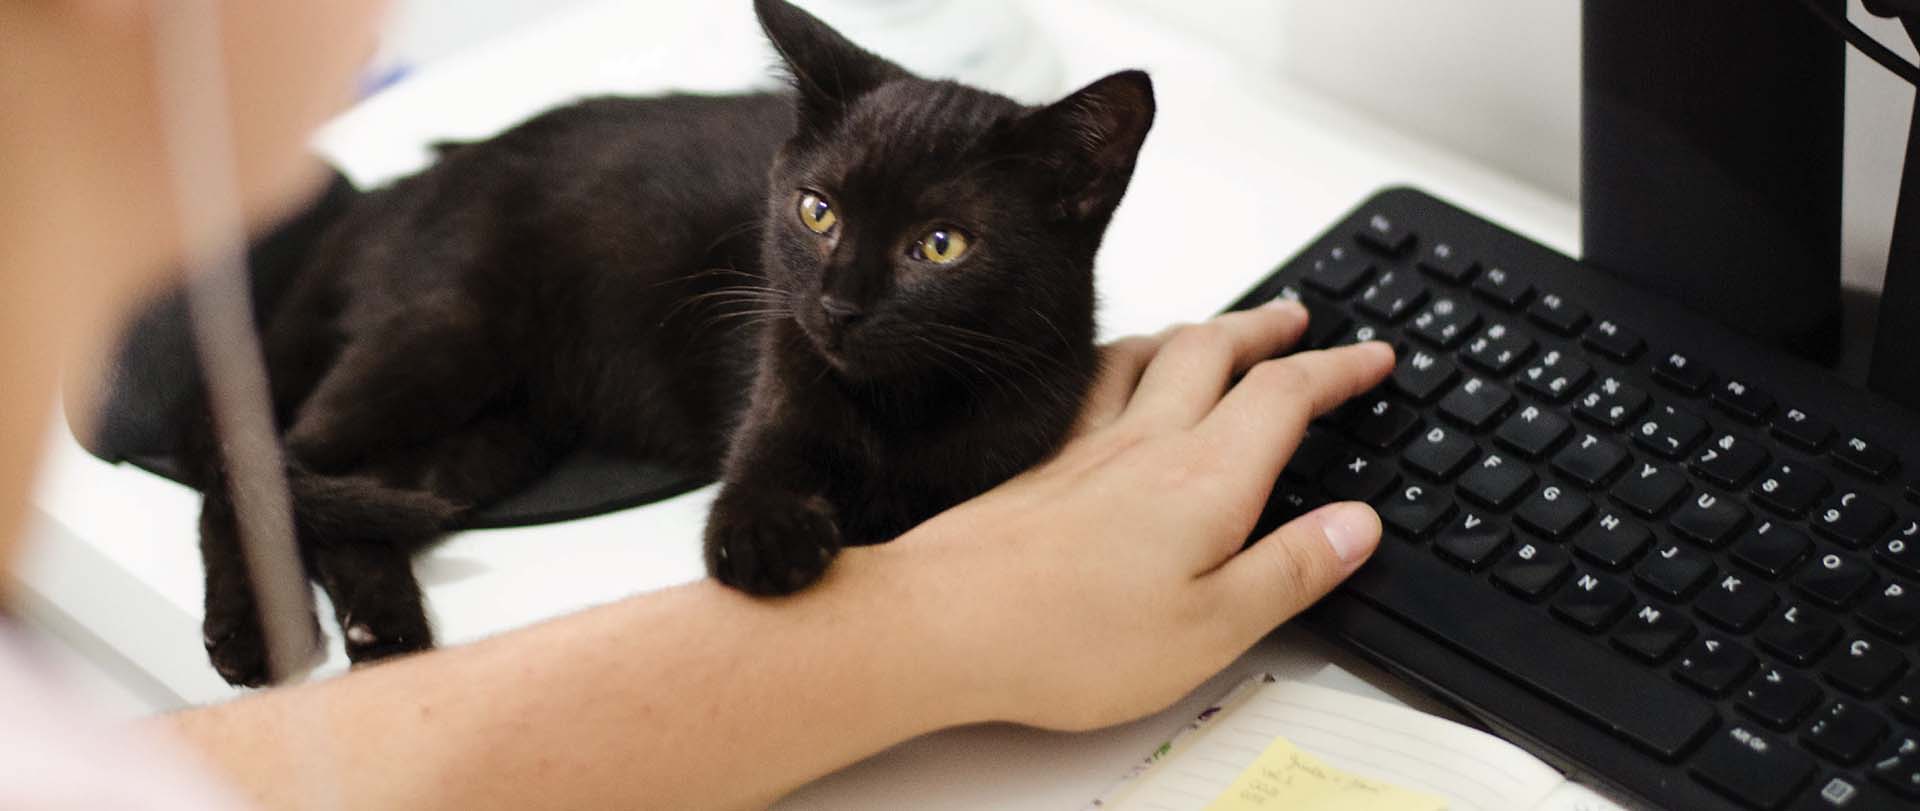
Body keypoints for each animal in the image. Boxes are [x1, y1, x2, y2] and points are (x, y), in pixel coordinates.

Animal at [187, 0, 1152, 688]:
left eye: (941, 245)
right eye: (818, 211)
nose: (838, 304)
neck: (900, 407)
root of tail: (396, 188)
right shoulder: (777, 389)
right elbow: (754, 490)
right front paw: (770, 539)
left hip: (492, 438)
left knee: (351, 494)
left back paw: (383, 626)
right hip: (446, 334)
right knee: (256, 462)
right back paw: (250, 633)